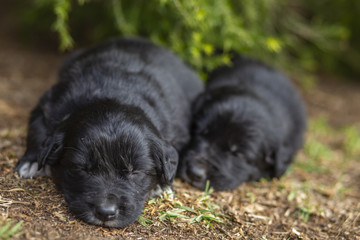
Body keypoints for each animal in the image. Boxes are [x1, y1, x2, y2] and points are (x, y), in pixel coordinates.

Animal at [15, 37, 204, 227]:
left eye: (135, 172)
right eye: (80, 168)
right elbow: (37, 130)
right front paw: (32, 161)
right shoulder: (48, 105)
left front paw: (161, 185)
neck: (115, 93)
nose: (105, 213)